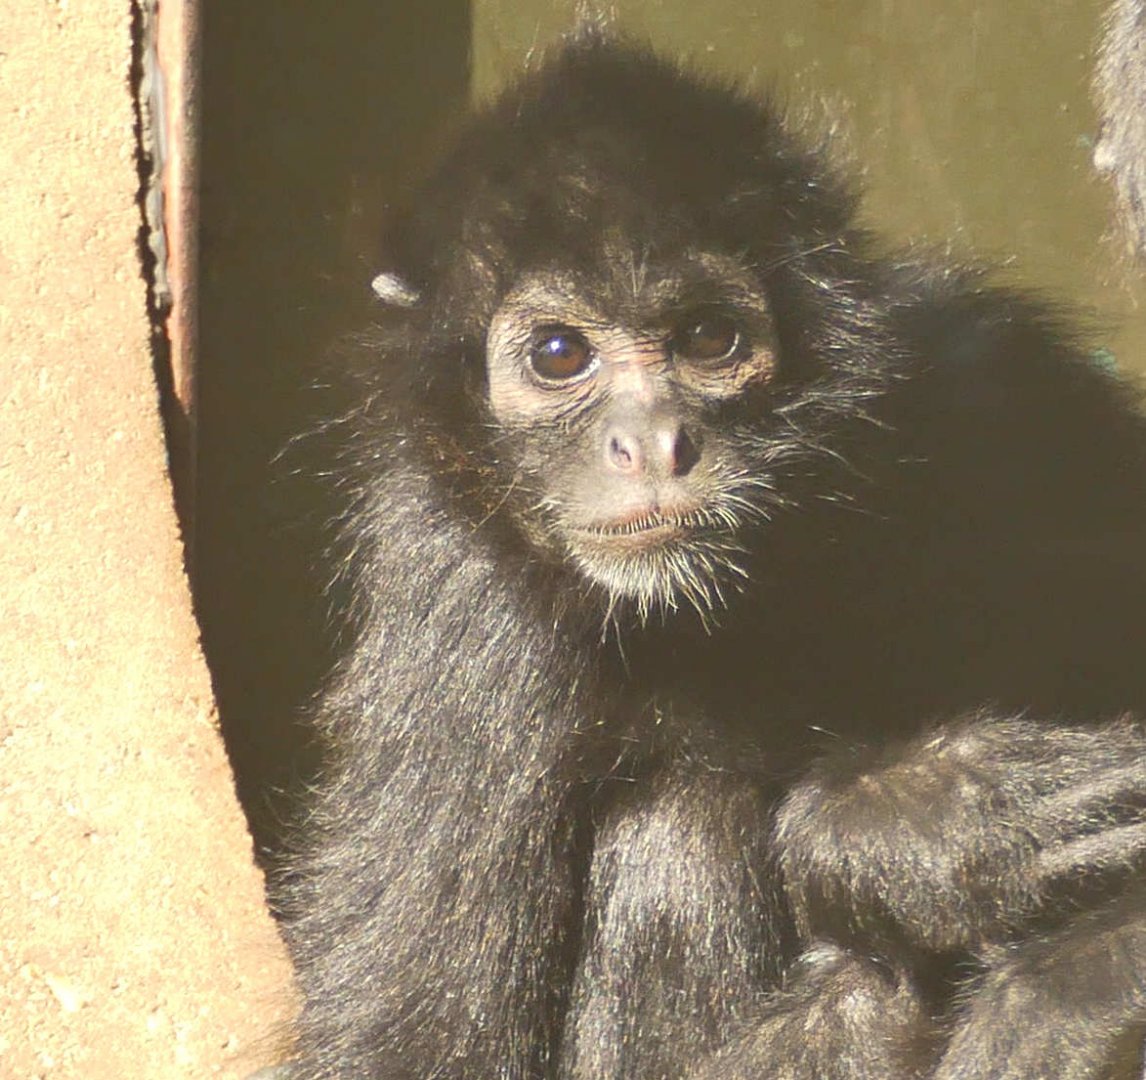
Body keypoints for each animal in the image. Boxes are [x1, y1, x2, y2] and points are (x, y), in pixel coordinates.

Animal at [277, 35, 1146, 1079]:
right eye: (560, 354)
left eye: (708, 338)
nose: (653, 443)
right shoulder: (457, 597)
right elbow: (411, 1041)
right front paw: (922, 830)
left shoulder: (985, 376)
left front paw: (1070, 963)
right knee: (681, 835)